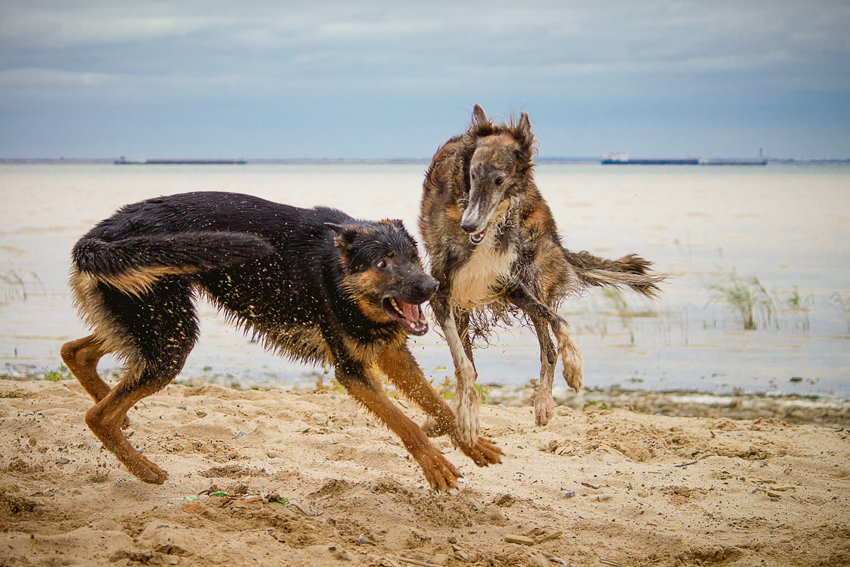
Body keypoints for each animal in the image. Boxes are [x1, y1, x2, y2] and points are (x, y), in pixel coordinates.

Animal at [63, 192, 500, 492]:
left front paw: (470, 442)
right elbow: (406, 422)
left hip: (148, 321)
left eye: (413, 256)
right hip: (169, 334)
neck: (337, 269)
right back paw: (143, 467)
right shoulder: (353, 371)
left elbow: (437, 404)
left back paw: (117, 411)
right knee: (97, 416)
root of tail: (99, 235)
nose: (432, 287)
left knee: (76, 353)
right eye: (382, 263)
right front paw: (434, 462)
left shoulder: (390, 352)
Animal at [418, 105, 664, 444]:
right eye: (472, 175)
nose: (469, 225)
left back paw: (544, 403)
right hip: (468, 302)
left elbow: (560, 323)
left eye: (499, 179)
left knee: (547, 346)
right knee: (473, 360)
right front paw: (466, 419)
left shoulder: (509, 284)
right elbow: (464, 365)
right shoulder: (443, 293)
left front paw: (575, 367)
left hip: (534, 278)